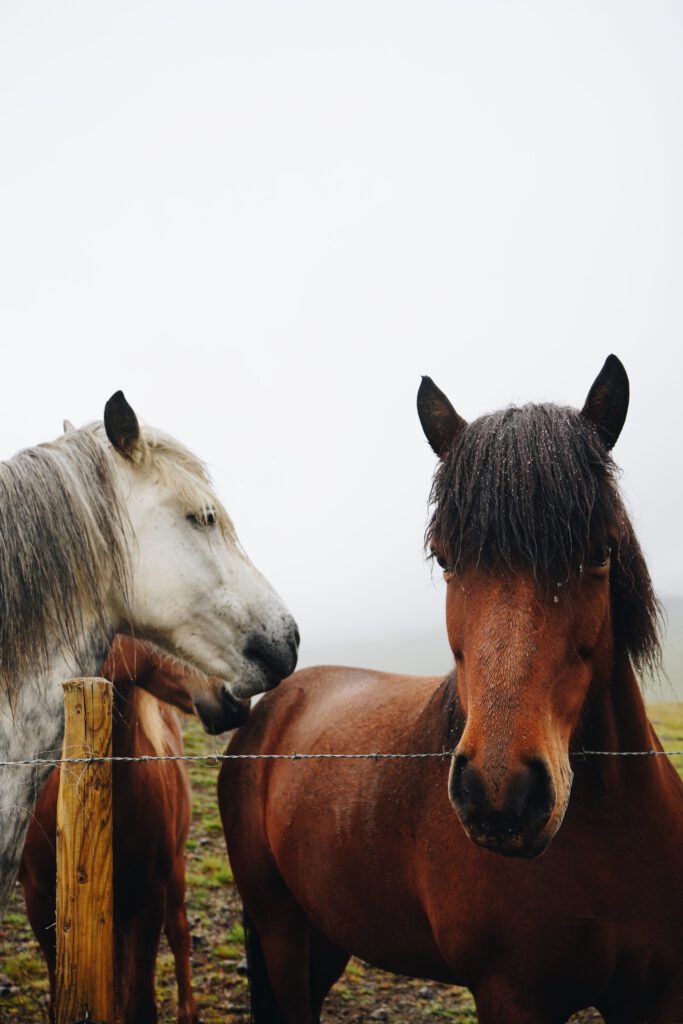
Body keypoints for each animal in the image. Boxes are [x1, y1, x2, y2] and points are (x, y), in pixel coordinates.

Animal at [19, 634, 248, 1019]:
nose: (237, 699)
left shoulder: (148, 897)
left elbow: (140, 1005)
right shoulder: (37, 898)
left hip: (175, 874)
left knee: (180, 934)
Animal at [219, 358, 683, 1024]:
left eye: (601, 551)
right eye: (444, 558)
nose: (502, 792)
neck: (613, 835)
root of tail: (274, 707)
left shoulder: (658, 994)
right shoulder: (512, 996)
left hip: (325, 934)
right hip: (280, 929)